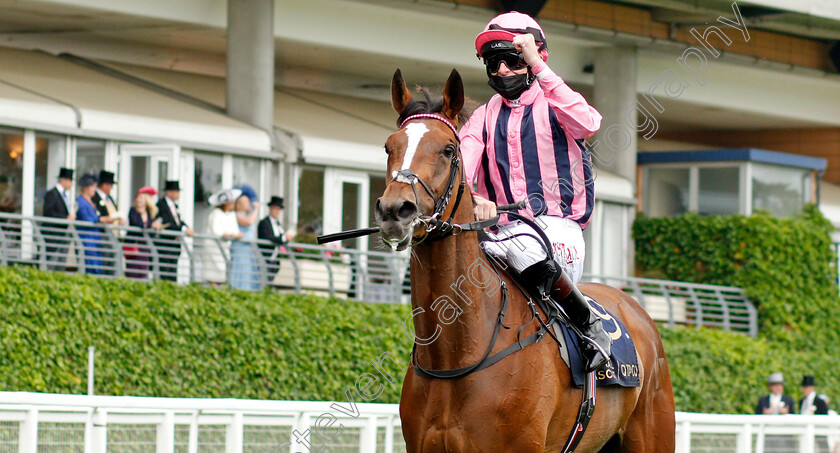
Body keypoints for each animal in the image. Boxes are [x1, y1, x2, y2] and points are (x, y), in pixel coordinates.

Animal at [374, 68, 676, 452]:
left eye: (447, 149)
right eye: (389, 146)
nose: (394, 210)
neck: (457, 354)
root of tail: (636, 310)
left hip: (652, 433)